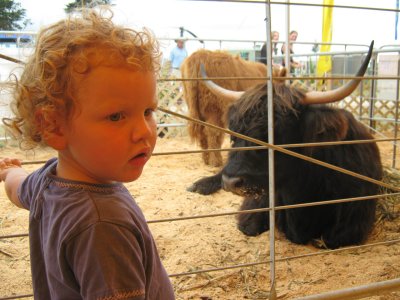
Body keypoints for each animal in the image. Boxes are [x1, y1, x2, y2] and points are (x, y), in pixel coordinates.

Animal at [189, 41, 382, 250]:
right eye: (234, 135)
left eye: (276, 134)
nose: (231, 182)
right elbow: (248, 226)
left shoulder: (352, 223)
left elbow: (332, 239)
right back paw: (199, 185)